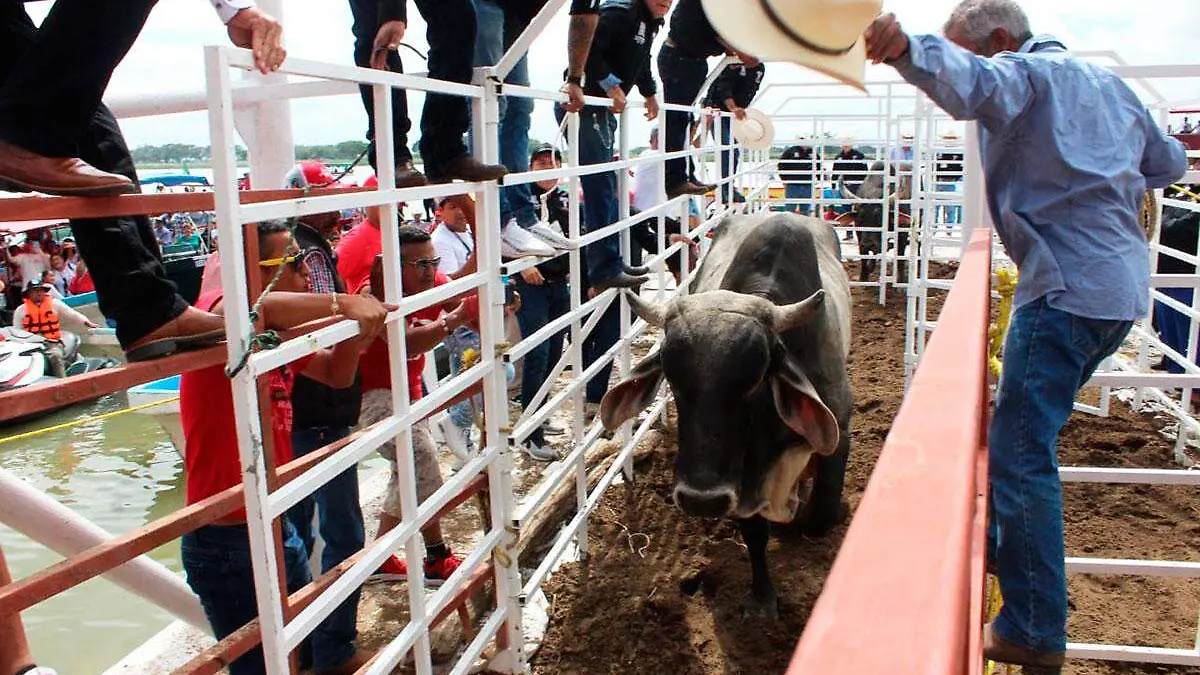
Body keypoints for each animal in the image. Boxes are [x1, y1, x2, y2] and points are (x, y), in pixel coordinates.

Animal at [599, 211, 853, 618]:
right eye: (672, 379)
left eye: (756, 379)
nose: (701, 500)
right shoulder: (741, 479)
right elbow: (755, 532)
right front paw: (762, 599)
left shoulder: (838, 430)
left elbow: (821, 517)